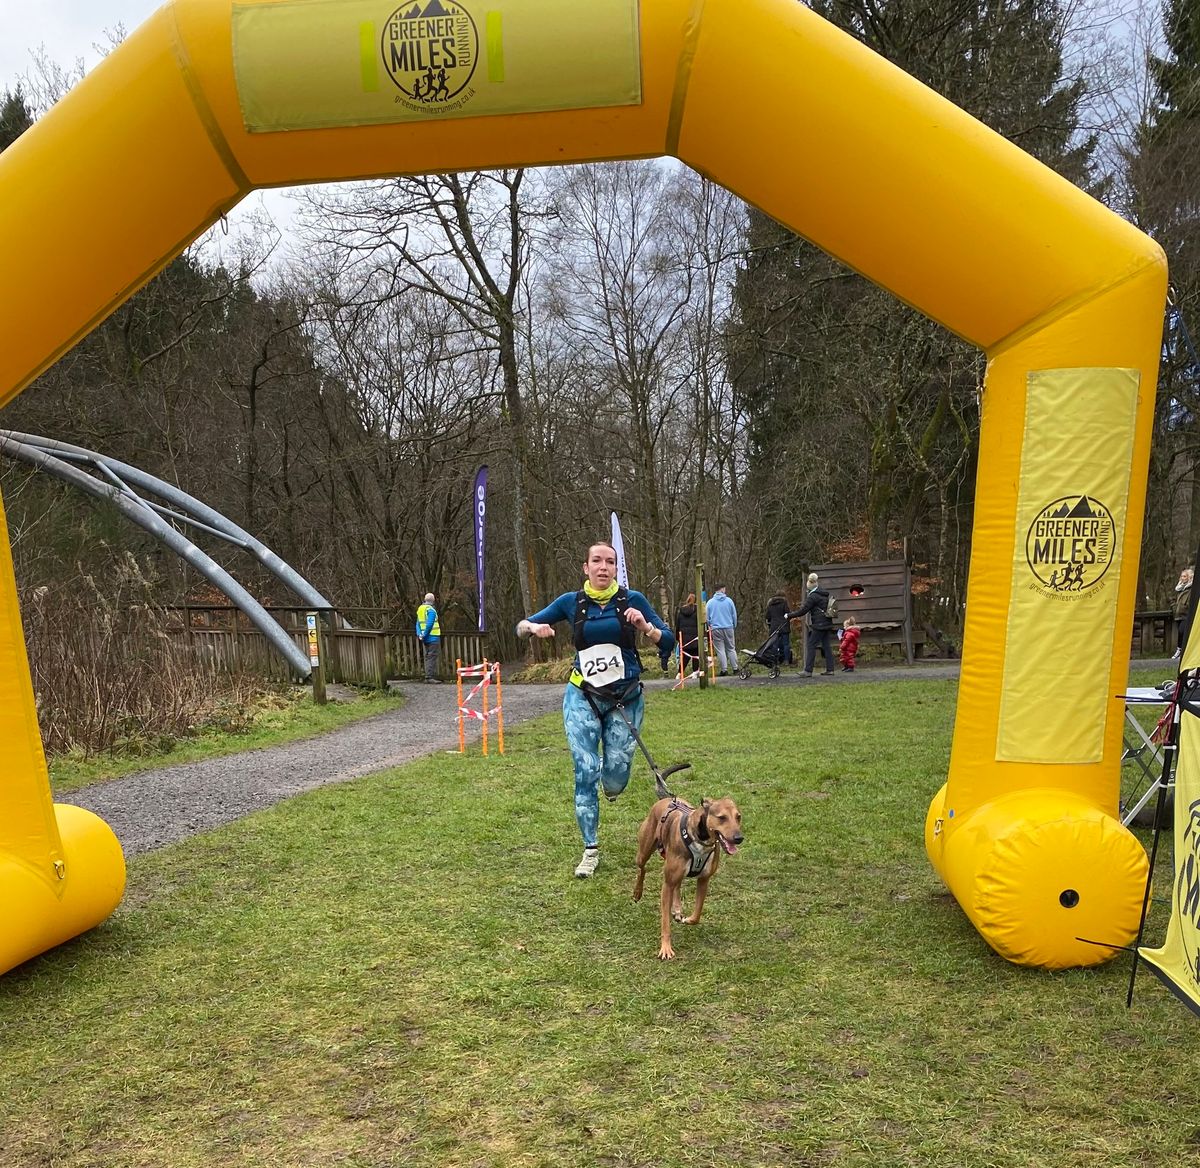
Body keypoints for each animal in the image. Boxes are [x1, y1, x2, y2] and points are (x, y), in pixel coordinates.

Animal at [633, 797, 744, 960]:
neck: (700, 840)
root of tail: (666, 798)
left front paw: (688, 919)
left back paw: (677, 909)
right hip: (644, 851)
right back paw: (637, 893)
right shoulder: (667, 884)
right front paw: (665, 949)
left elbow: (697, 914)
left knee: (677, 885)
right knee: (642, 868)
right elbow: (665, 922)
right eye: (722, 817)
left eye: (738, 817)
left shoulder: (704, 880)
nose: (739, 838)